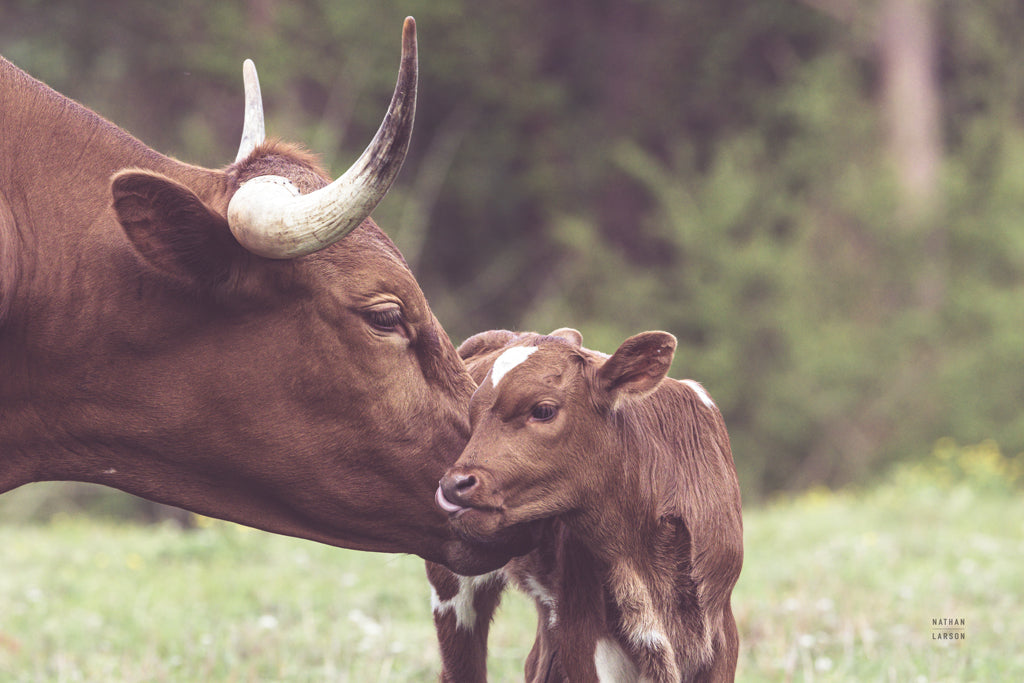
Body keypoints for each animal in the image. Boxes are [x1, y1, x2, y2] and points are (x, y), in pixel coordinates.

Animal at [432, 327, 745, 679]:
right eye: (472, 414)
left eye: (543, 410)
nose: (454, 484)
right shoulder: (583, 629)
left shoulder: (720, 628)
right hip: (452, 585)